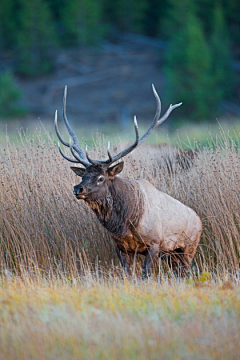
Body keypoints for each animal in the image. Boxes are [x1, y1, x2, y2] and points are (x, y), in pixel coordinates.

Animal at [54, 86, 202, 278]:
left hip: (188, 248)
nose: (78, 189)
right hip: (171, 255)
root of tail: (199, 219)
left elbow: (146, 275)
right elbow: (128, 275)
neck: (124, 224)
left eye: (101, 178)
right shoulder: (121, 247)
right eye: (82, 176)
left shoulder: (154, 244)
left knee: (186, 272)